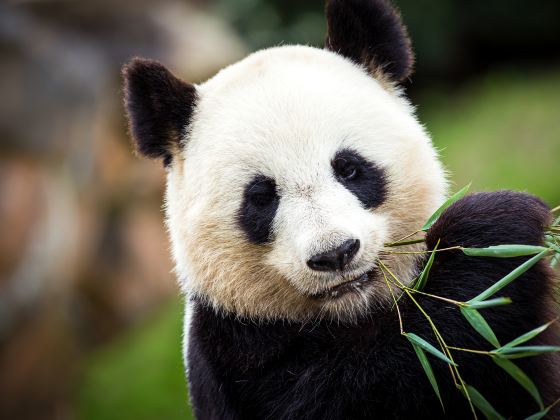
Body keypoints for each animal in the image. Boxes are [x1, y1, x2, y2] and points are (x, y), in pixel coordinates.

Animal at [120, 0, 556, 418]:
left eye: (349, 168)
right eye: (261, 197)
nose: (335, 254)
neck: (351, 310)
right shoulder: (233, 349)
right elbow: (361, 383)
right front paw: (495, 227)